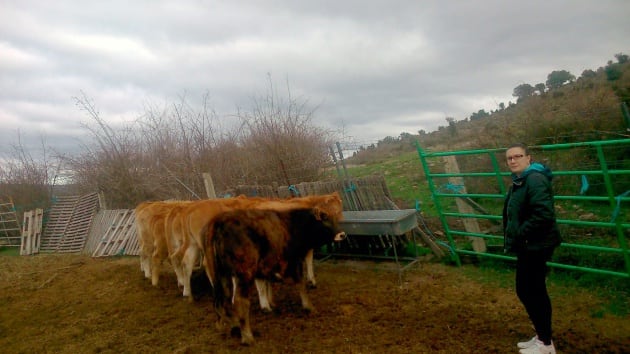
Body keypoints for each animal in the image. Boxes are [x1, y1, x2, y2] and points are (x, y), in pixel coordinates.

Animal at [205, 206, 346, 344]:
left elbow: (266, 284)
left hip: (223, 275)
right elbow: (301, 283)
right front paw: (309, 307)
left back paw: (234, 327)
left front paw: (270, 304)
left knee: (225, 300)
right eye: (324, 217)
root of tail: (220, 221)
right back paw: (247, 337)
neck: (295, 223)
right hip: (244, 274)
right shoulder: (295, 260)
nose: (342, 234)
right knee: (240, 300)